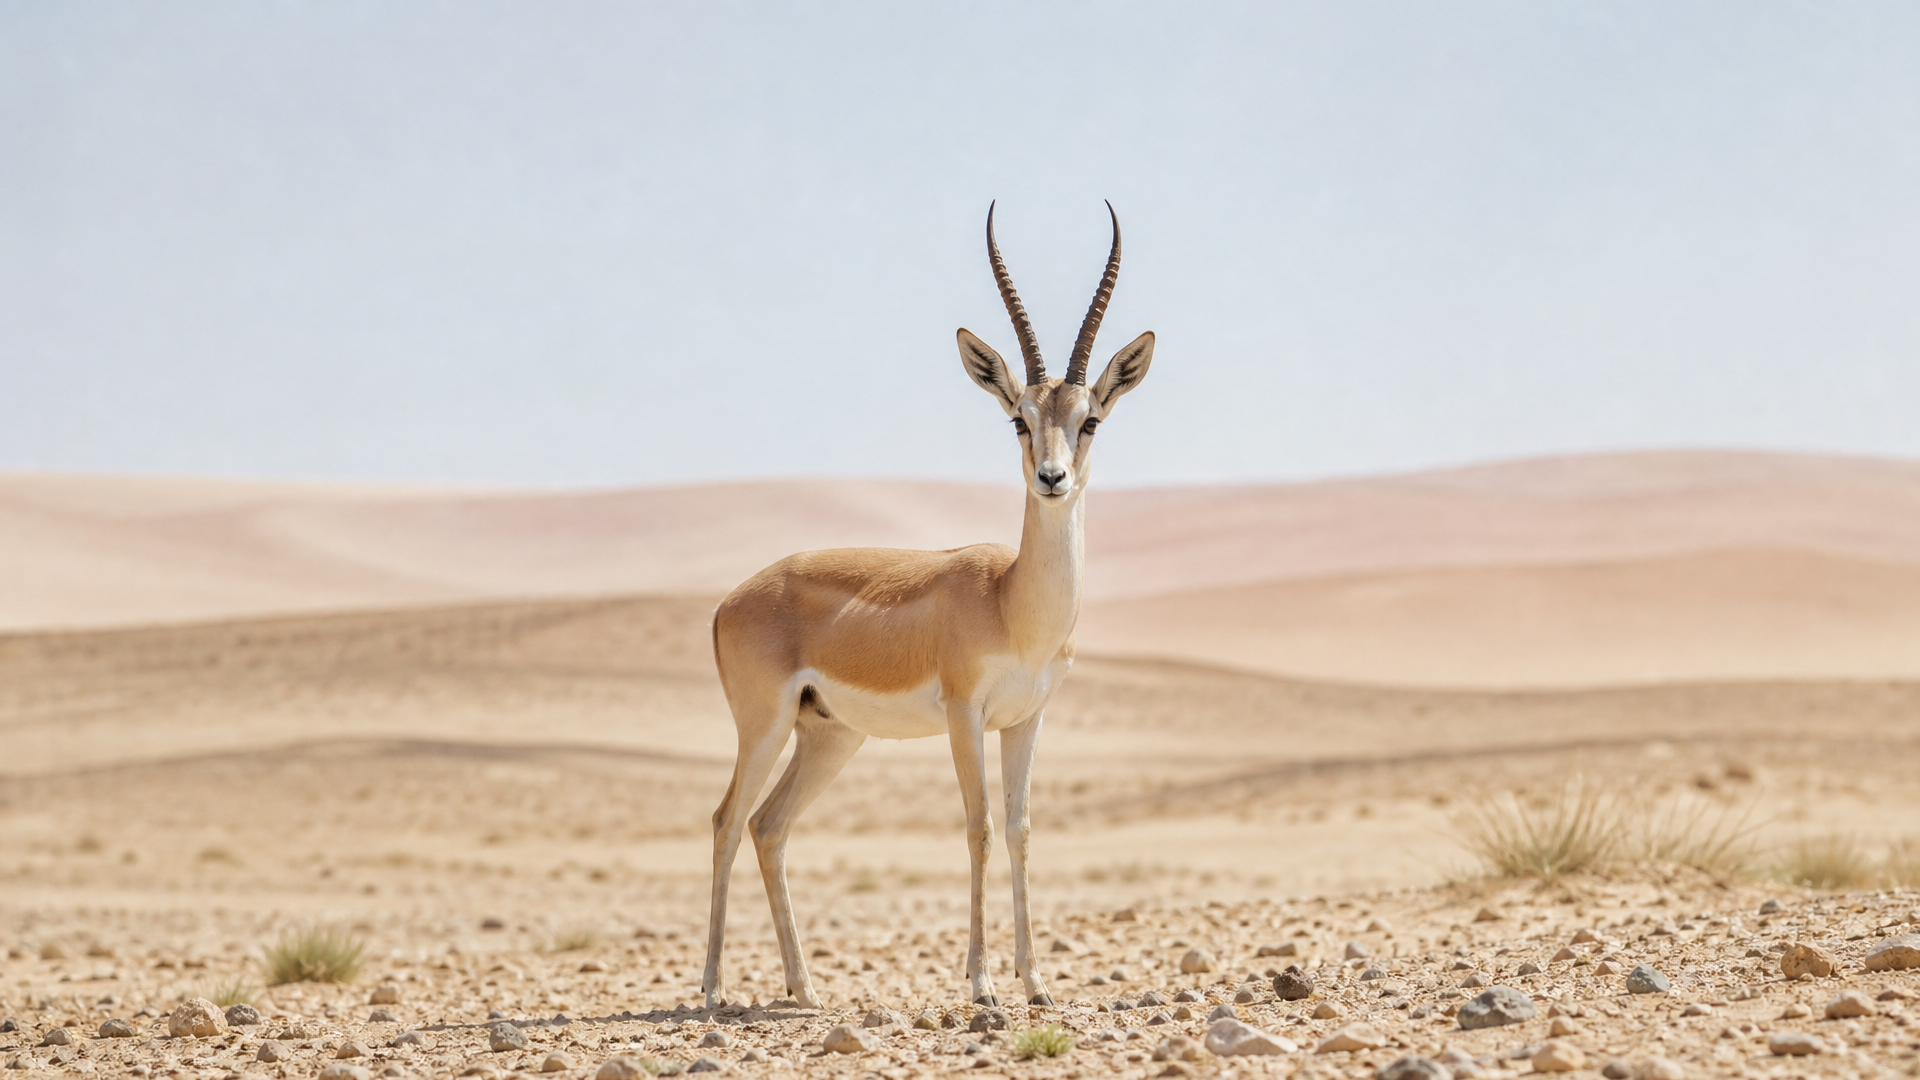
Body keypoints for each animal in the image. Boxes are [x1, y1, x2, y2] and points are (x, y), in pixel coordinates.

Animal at [701, 202, 1154, 1009]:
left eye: (1091, 419)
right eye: (1018, 417)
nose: (1052, 477)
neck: (1012, 603)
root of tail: (731, 600)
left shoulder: (1027, 719)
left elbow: (1020, 830)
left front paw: (1037, 984)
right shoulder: (964, 714)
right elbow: (978, 828)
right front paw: (981, 984)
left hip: (829, 736)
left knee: (768, 827)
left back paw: (804, 990)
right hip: (764, 726)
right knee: (726, 820)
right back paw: (715, 990)